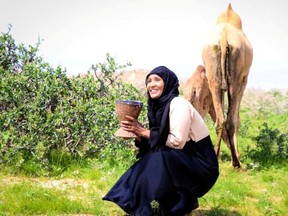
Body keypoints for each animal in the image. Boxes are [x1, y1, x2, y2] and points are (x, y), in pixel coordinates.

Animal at [201, 3, 253, 169]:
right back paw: (236, 163)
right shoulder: (244, 79)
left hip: (214, 78)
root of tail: (223, 39)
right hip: (234, 80)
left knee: (220, 120)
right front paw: (237, 157)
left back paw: (217, 158)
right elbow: (236, 118)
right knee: (230, 120)